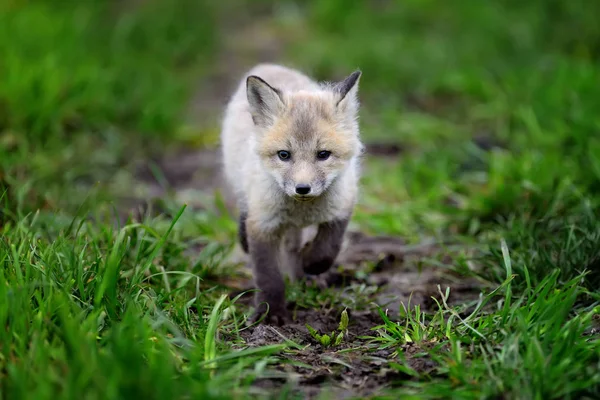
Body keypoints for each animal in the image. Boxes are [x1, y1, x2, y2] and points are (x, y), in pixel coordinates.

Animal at [219, 63, 360, 324]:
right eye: (284, 155)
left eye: (323, 154)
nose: (302, 188)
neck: (301, 210)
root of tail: (268, 66)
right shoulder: (262, 224)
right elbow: (269, 276)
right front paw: (270, 313)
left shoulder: (342, 207)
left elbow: (326, 250)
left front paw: (310, 264)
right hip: (243, 186)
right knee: (245, 212)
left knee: (293, 248)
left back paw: (303, 276)